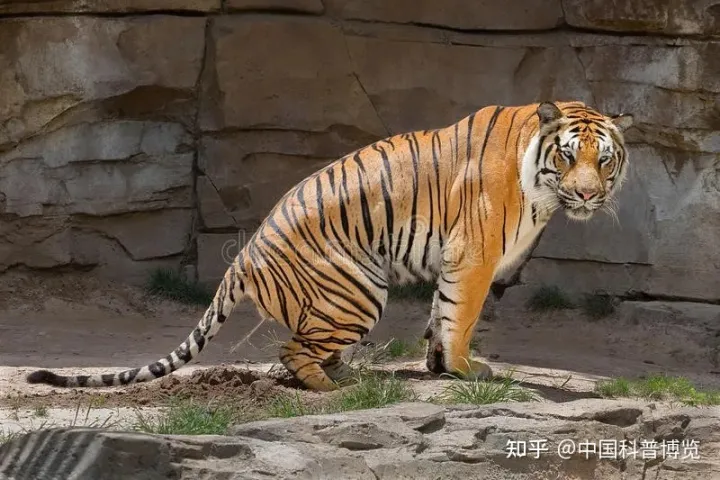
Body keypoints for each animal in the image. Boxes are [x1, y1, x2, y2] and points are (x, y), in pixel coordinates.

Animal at [27, 100, 633, 392]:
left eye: (603, 159)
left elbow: (441, 312)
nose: (587, 193)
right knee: (290, 352)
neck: (544, 193)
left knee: (304, 346)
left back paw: (342, 372)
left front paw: (439, 365)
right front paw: (463, 368)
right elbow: (461, 314)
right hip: (361, 291)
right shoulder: (474, 254)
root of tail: (242, 257)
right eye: (568, 155)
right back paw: (333, 386)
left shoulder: (457, 259)